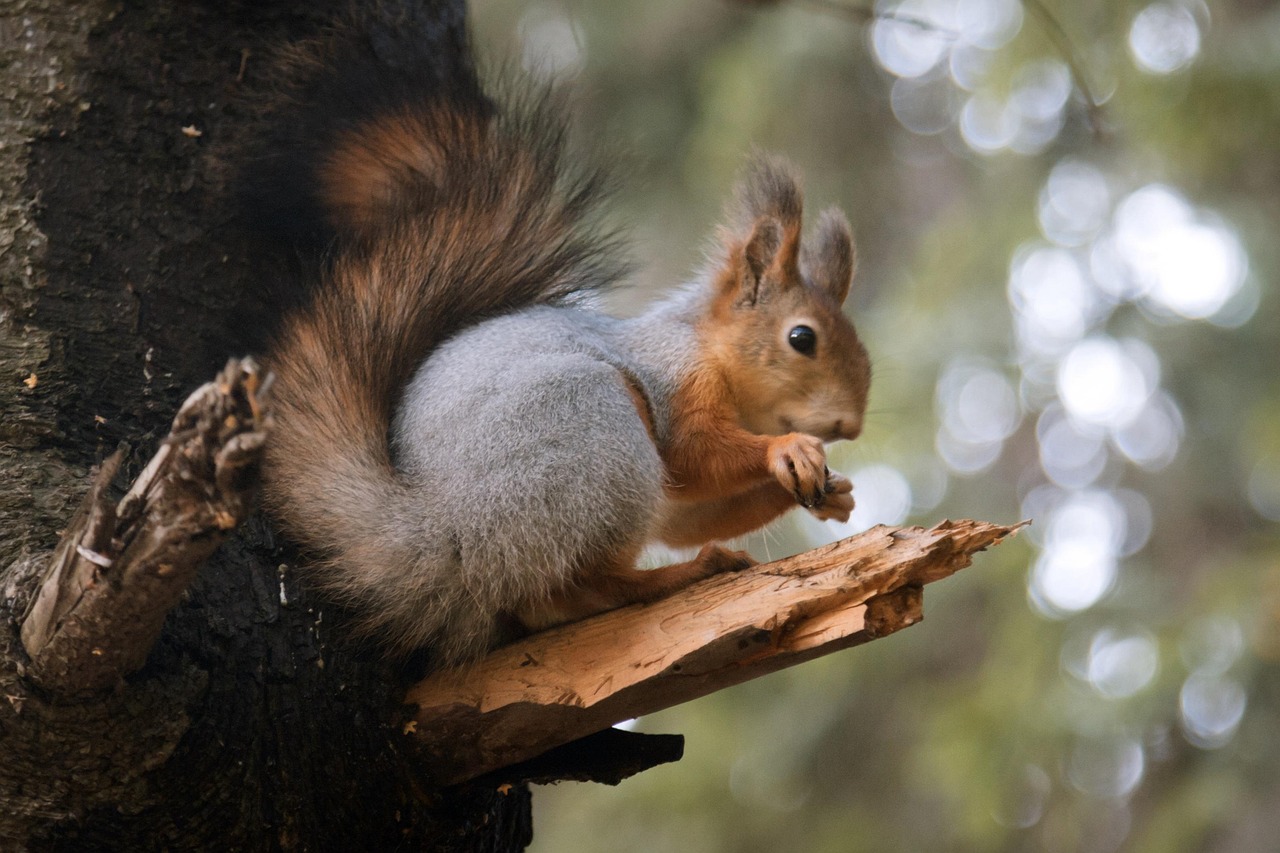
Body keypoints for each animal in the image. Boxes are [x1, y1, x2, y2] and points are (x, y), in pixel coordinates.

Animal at [252, 0, 872, 666]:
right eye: (801, 338)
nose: (850, 426)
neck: (713, 356)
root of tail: (450, 539)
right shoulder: (673, 380)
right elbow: (693, 452)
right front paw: (785, 451)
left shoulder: (678, 494)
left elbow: (688, 513)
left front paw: (832, 492)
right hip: (590, 434)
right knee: (584, 587)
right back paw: (678, 575)